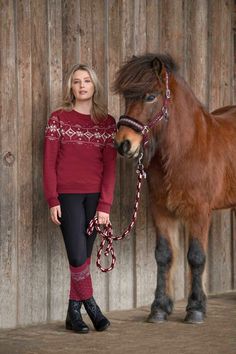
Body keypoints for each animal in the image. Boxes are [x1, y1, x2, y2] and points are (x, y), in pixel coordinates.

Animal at [113, 53, 236, 324]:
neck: (183, 151)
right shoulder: (161, 210)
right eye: (127, 96)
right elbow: (164, 255)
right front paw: (159, 308)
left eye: (150, 96)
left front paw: (196, 308)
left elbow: (196, 257)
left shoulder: (199, 212)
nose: (123, 144)